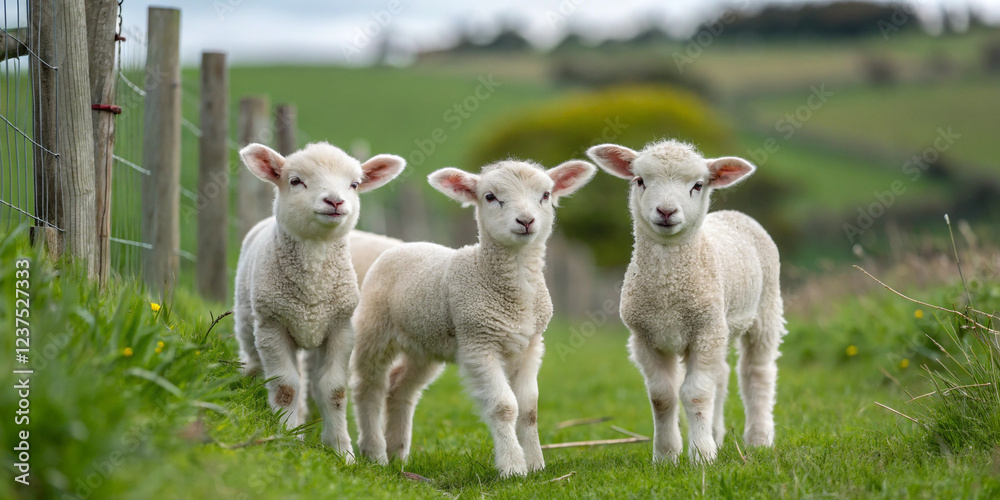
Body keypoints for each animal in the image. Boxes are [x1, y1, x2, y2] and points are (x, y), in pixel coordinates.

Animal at [233, 141, 405, 460]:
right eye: (295, 181)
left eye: (354, 184)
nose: (335, 201)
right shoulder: (273, 327)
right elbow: (285, 387)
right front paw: (286, 438)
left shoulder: (340, 328)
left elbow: (334, 390)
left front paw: (341, 451)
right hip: (248, 322)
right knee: (255, 362)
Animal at [350, 159, 596, 477]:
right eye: (490, 196)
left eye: (545, 194)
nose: (526, 221)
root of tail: (403, 245)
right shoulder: (480, 343)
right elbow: (505, 406)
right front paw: (513, 468)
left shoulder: (531, 345)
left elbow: (529, 410)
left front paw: (536, 465)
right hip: (375, 328)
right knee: (369, 387)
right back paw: (375, 453)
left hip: (425, 344)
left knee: (400, 387)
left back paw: (397, 453)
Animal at [586, 139, 786, 464]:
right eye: (640, 180)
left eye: (698, 185)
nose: (666, 211)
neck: (670, 287)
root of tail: (734, 213)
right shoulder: (646, 337)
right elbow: (662, 397)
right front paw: (667, 455)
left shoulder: (705, 332)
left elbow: (695, 394)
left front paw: (702, 455)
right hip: (719, 327)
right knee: (722, 375)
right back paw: (717, 434)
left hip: (765, 308)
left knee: (757, 373)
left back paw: (759, 438)